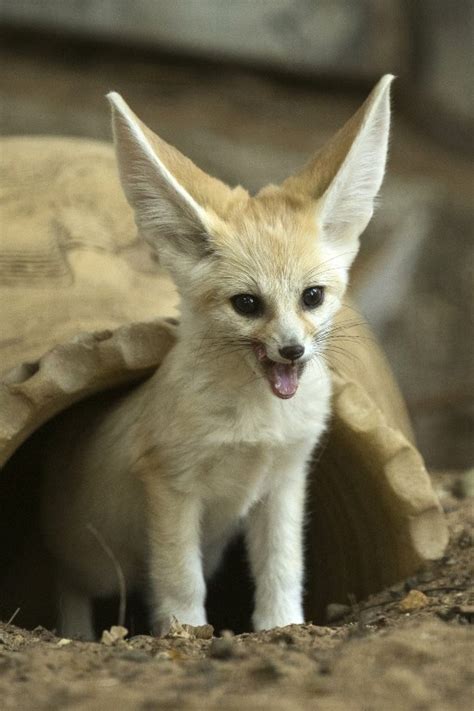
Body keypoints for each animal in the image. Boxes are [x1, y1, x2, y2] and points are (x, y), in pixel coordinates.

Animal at [41, 76, 392, 640]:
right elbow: (180, 581)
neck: (257, 423)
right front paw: (185, 632)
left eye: (312, 296)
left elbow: (282, 570)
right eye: (247, 304)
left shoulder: (284, 480)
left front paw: (281, 628)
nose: (292, 349)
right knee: (69, 586)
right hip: (94, 563)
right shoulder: (171, 484)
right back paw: (77, 635)